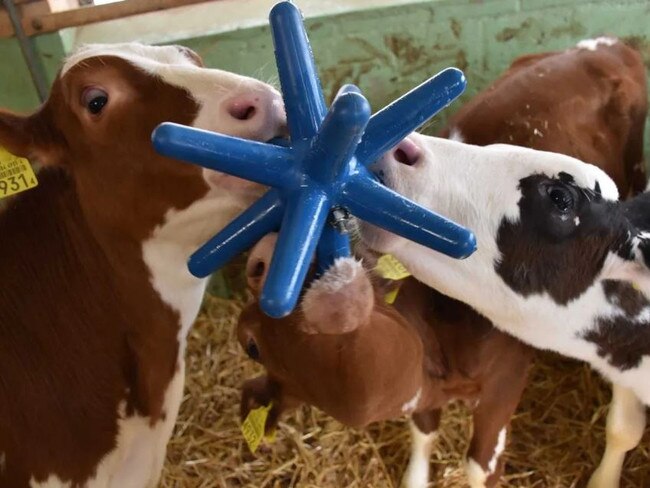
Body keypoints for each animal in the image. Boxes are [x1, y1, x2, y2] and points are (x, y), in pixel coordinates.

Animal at [238, 234, 532, 486]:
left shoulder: (506, 378)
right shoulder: (424, 397)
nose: (261, 256)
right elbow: (425, 431)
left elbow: (479, 467)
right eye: (251, 347)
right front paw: (415, 480)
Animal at [360, 39, 648, 488]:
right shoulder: (424, 386)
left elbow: (481, 465)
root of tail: (610, 44)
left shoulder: (504, 383)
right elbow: (424, 431)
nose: (396, 145)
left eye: (561, 198)